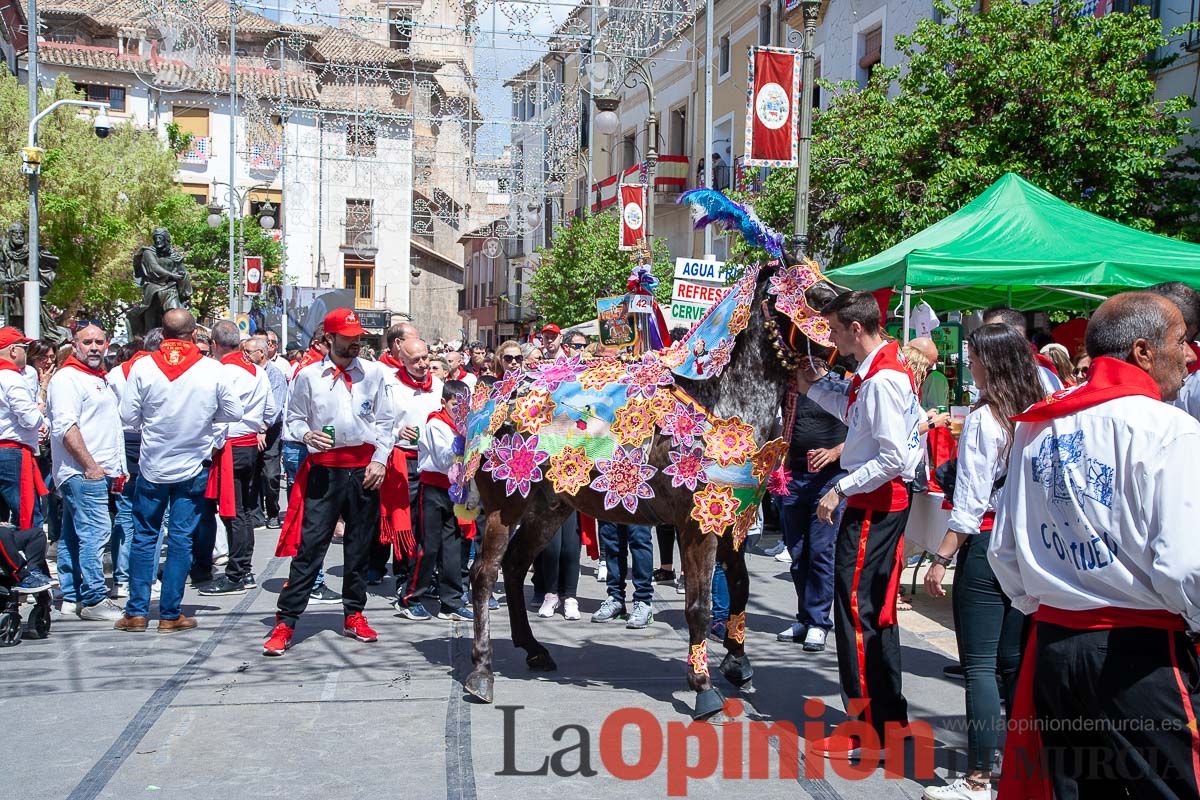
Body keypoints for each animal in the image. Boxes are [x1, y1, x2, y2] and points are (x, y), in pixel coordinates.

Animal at [453, 190, 840, 724]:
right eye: (814, 294)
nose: (863, 313)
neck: (722, 402)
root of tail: (499, 392)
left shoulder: (734, 521)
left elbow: (739, 588)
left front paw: (738, 664)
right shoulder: (698, 526)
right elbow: (700, 603)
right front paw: (703, 688)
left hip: (549, 509)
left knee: (512, 569)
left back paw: (533, 649)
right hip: (505, 507)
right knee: (483, 575)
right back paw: (481, 672)